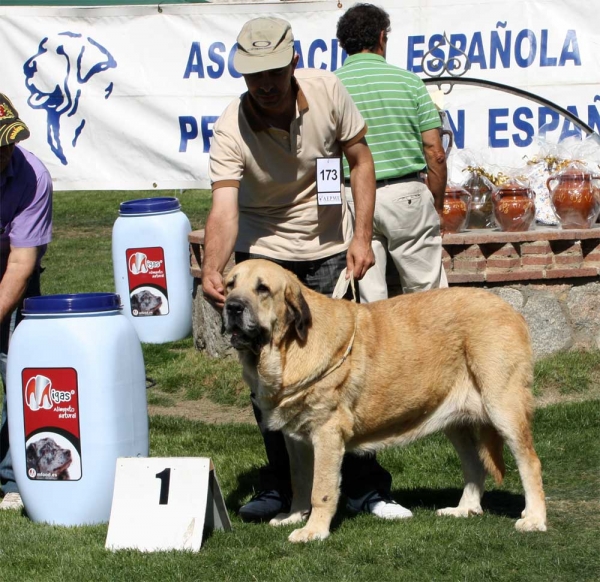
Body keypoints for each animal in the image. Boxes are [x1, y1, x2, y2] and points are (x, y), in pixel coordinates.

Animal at [223, 260, 548, 544]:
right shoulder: (296, 439)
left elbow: (321, 489)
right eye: (229, 285)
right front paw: (293, 516)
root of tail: (510, 309)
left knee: (530, 462)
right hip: (456, 423)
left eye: (263, 289)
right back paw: (464, 509)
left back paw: (534, 518)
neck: (286, 349)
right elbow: (300, 480)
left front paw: (313, 531)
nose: (232, 307)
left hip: (503, 406)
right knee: (475, 466)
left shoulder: (327, 433)